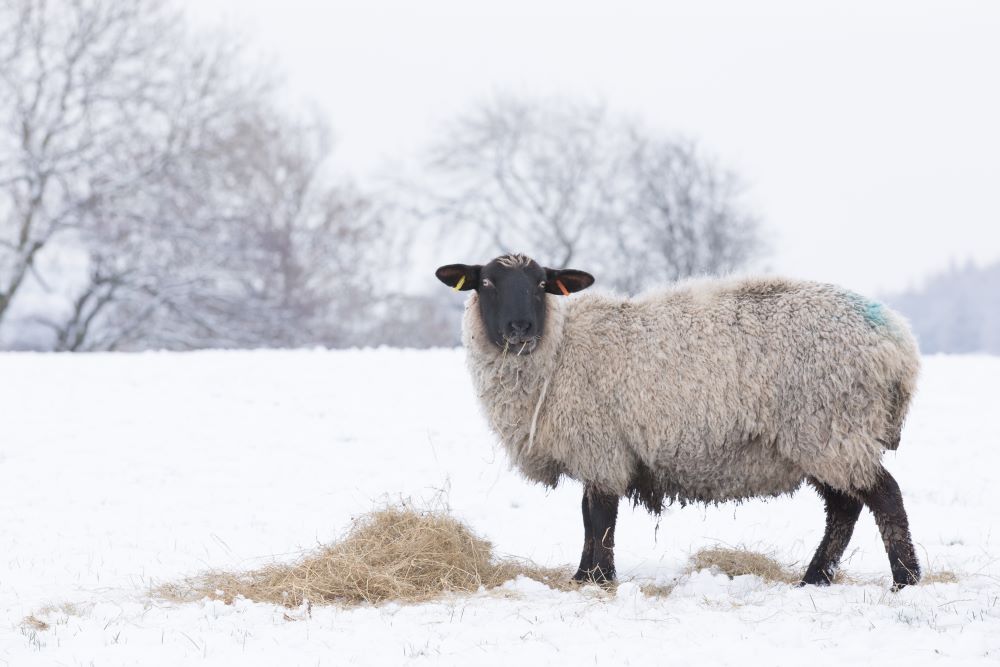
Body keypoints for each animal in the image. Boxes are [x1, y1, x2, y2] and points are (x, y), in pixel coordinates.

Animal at [438, 254, 920, 588]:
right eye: (486, 283)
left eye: (541, 284)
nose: (520, 328)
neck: (560, 346)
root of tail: (898, 340)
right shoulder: (600, 451)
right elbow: (590, 516)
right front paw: (583, 576)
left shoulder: (602, 446)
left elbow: (599, 517)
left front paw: (598, 579)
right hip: (822, 438)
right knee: (844, 508)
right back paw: (814, 579)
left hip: (831, 428)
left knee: (885, 497)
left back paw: (905, 579)